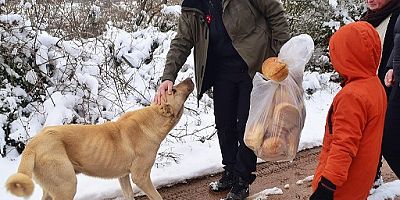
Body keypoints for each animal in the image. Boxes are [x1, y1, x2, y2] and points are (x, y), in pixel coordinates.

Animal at [5, 77, 195, 199]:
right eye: (174, 90)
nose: (190, 78)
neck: (154, 118)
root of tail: (33, 144)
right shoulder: (140, 177)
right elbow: (157, 196)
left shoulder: (123, 177)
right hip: (67, 187)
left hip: (53, 189)